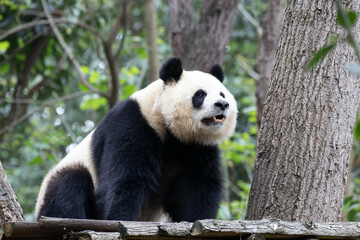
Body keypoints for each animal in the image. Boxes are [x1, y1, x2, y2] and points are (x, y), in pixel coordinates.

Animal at [35, 57, 238, 222]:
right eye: (200, 94)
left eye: (222, 94)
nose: (222, 104)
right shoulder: (132, 125)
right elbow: (125, 179)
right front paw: (120, 217)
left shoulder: (197, 148)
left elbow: (197, 187)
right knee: (69, 185)